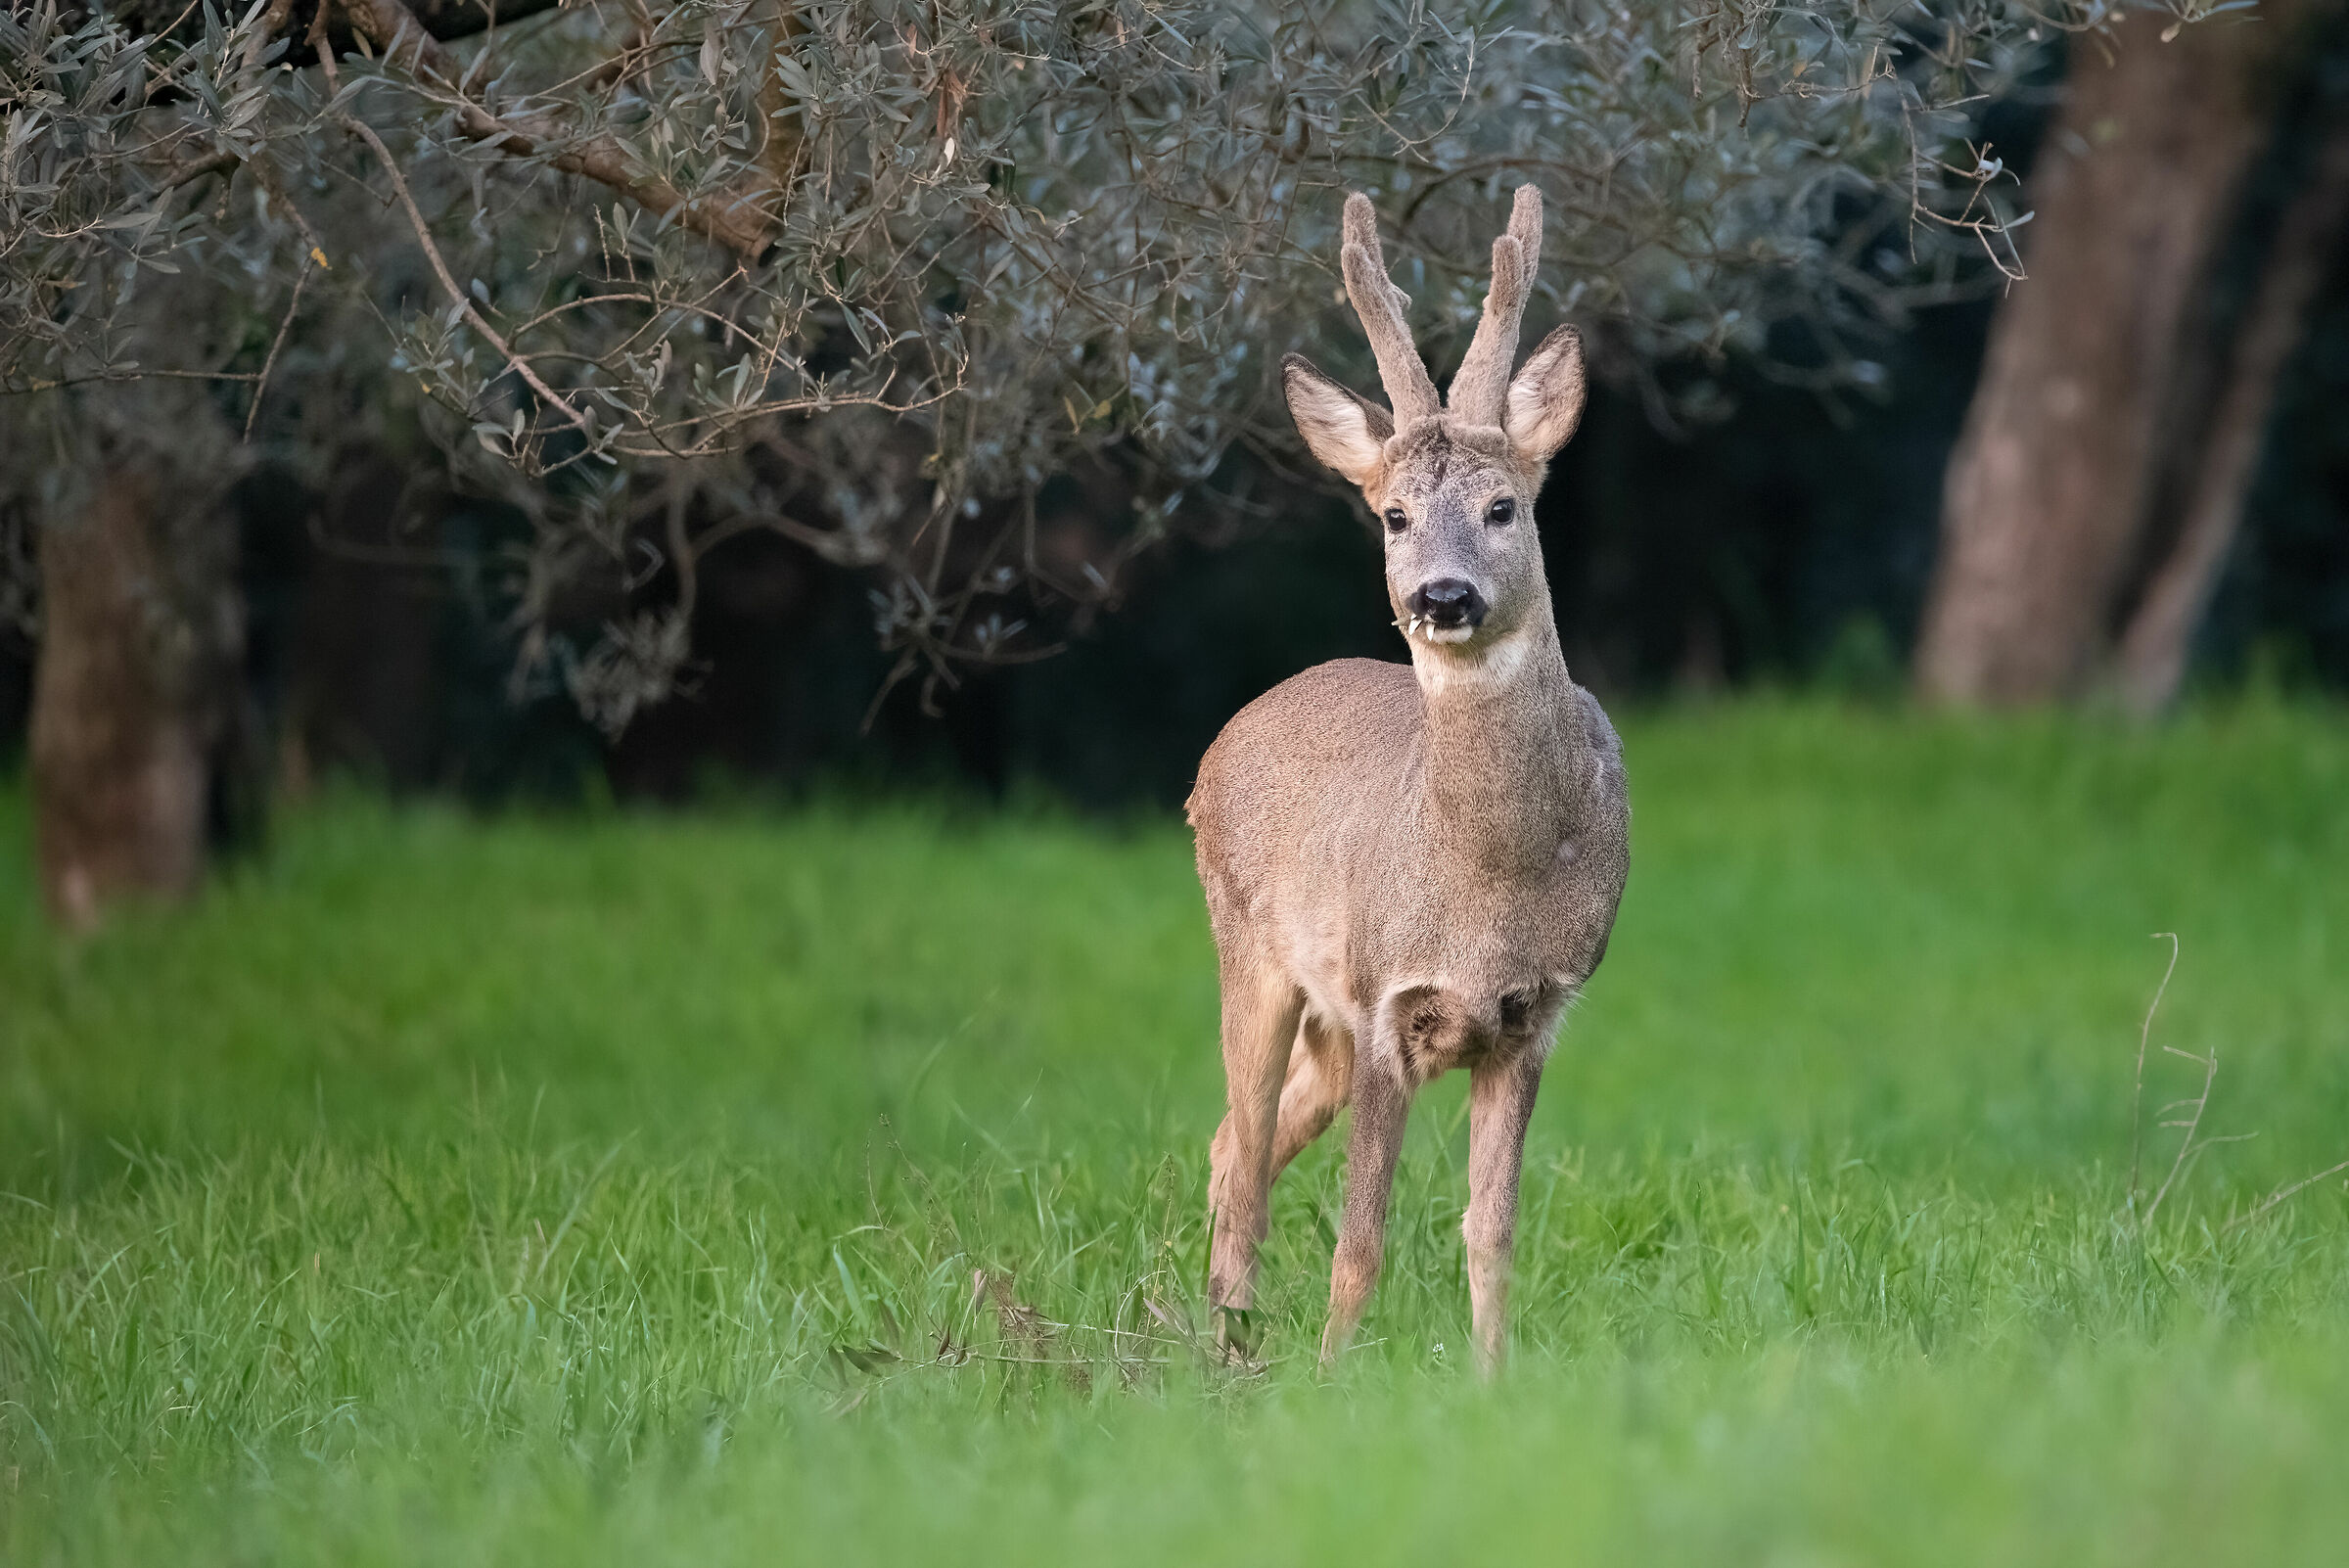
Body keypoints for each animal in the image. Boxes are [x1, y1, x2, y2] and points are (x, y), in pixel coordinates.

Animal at [1186, 185, 1630, 1377]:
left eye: (1503, 507)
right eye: (1392, 515)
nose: (1442, 597)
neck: (1488, 880)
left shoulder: (1536, 1014)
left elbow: (1492, 1230)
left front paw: (1491, 1382)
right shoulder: (1387, 994)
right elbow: (1361, 1238)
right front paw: (1333, 1384)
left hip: (1326, 1024)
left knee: (1233, 1144)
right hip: (1250, 947)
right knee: (1242, 1148)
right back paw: (1228, 1348)